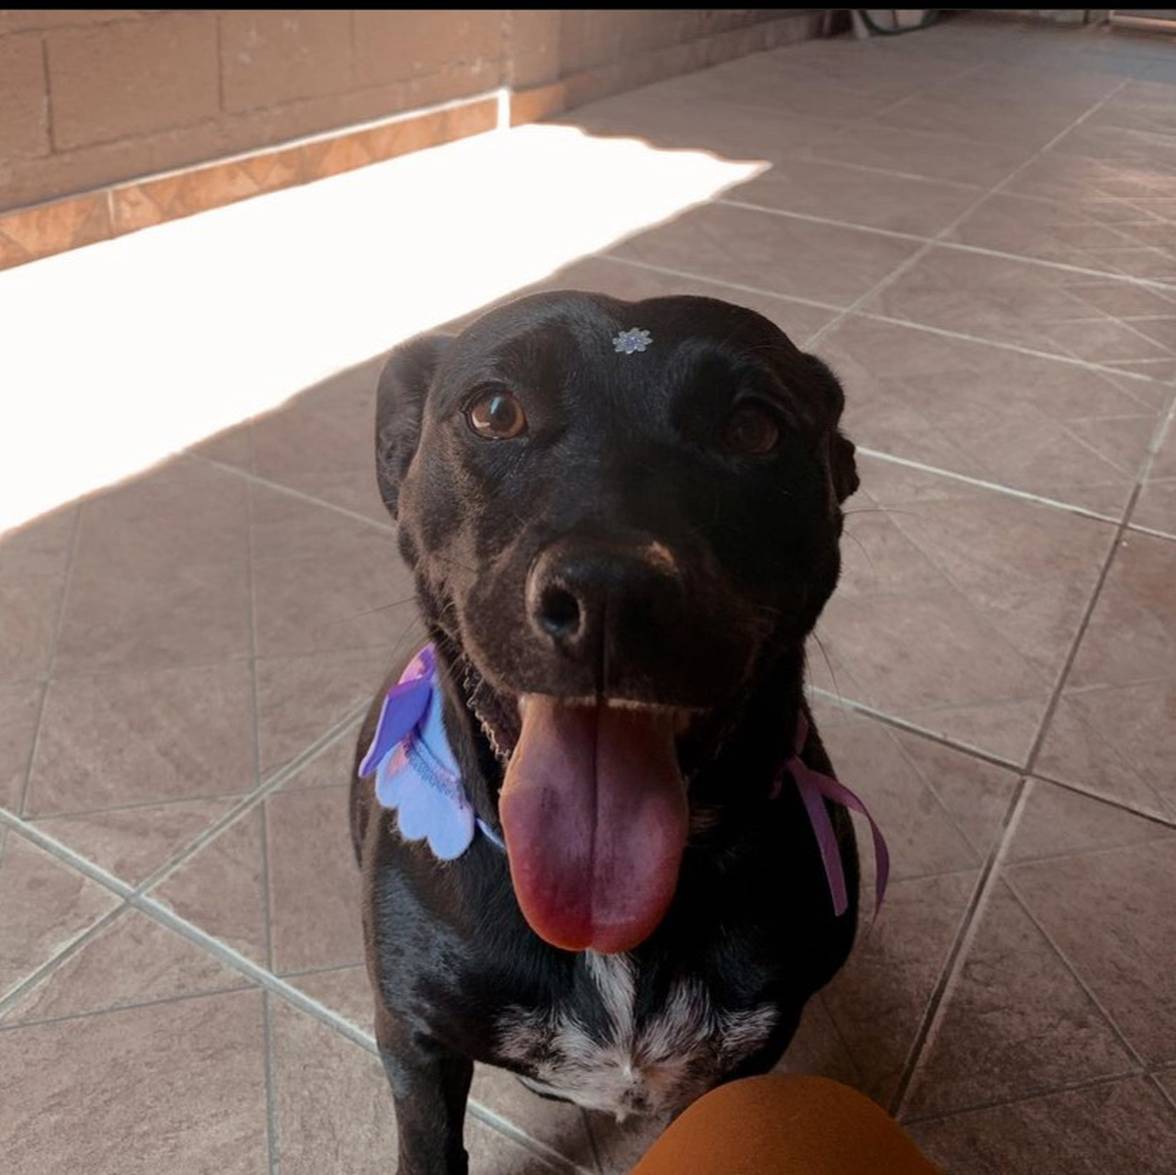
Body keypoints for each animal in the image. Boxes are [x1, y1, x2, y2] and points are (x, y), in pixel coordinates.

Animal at [350, 290, 863, 1174]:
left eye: (752, 426)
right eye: (494, 411)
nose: (610, 593)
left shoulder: (746, 1057)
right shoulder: (415, 1045)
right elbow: (429, 1144)